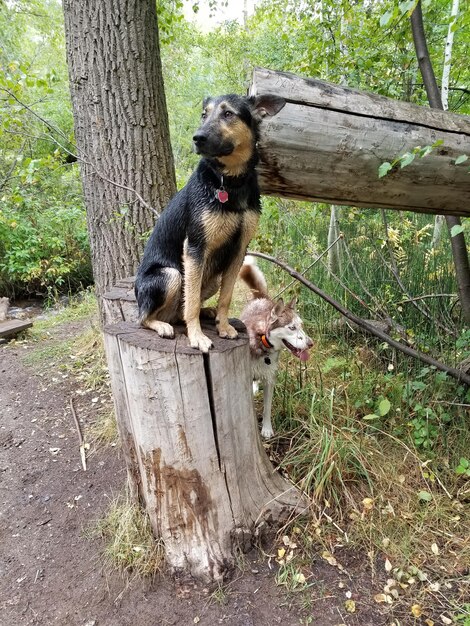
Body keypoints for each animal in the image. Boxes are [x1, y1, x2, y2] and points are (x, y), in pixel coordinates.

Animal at [134, 92, 284, 352]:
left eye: (228, 113)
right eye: (204, 114)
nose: (198, 138)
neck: (230, 182)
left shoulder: (239, 251)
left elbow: (226, 297)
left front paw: (223, 327)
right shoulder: (195, 247)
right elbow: (192, 301)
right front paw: (197, 337)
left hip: (211, 278)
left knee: (179, 311)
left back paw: (208, 312)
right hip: (172, 275)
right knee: (144, 317)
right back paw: (162, 325)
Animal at [241, 256, 314, 436]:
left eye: (301, 325)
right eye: (292, 328)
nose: (311, 344)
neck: (262, 342)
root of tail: (260, 298)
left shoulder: (270, 379)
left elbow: (267, 408)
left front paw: (267, 429)